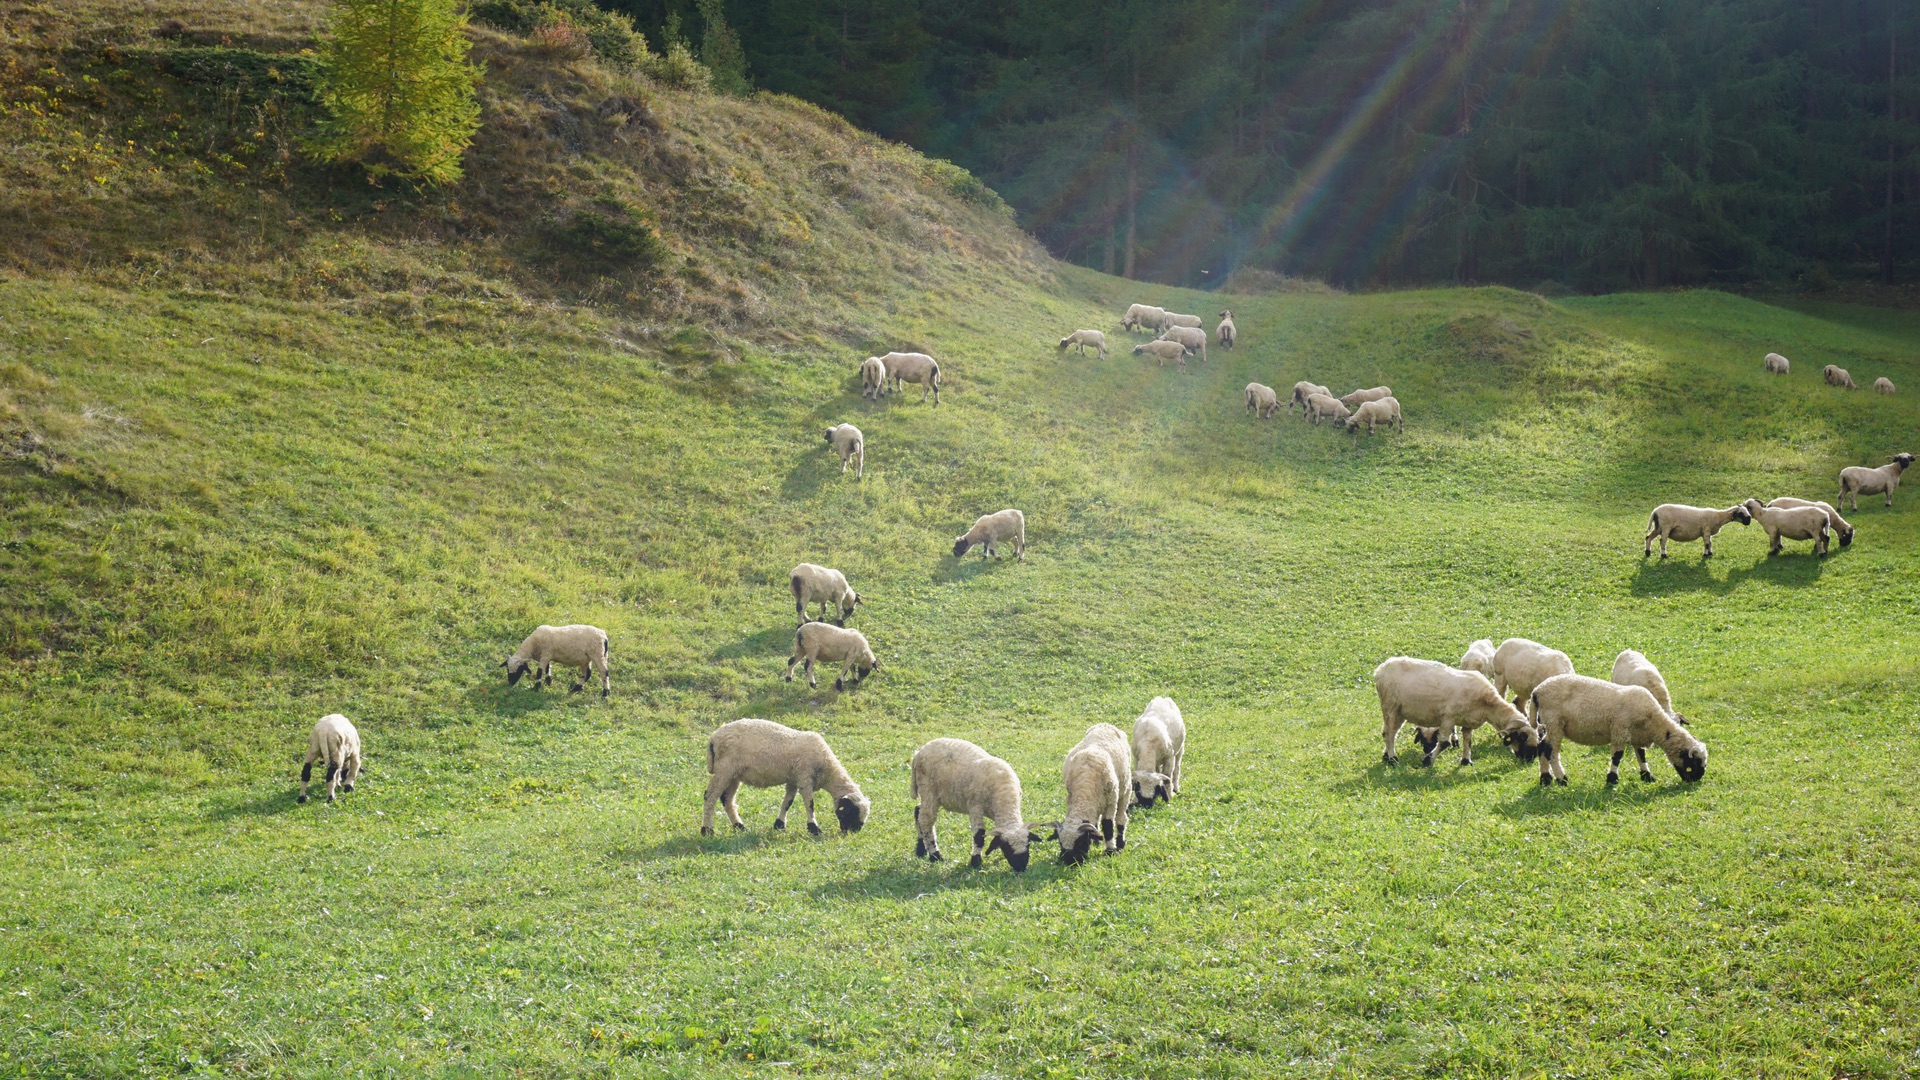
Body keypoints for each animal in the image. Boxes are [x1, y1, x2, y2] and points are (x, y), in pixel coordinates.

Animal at [698, 718, 871, 837]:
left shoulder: (793, 780)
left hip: (734, 774)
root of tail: (713, 738)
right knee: (710, 796)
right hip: (725, 769)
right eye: (852, 812)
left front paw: (779, 825)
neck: (827, 768)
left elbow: (788, 802)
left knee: (727, 800)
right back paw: (707, 829)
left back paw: (739, 826)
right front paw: (814, 828)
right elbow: (810, 804)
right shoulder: (804, 778)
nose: (853, 832)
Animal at [910, 734, 1044, 868]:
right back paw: (935, 855)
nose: (1021, 867)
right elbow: (979, 835)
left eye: (1028, 844)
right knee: (926, 821)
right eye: (1007, 847)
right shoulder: (975, 807)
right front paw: (975, 861)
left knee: (918, 811)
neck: (1004, 797)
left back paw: (921, 849)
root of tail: (918, 753)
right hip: (928, 789)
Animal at [1059, 718, 1128, 860]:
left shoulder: (1111, 802)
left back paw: (1120, 843)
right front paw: (1095, 841)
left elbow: (1108, 825)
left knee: (1121, 817)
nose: (1068, 862)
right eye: (1060, 843)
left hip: (1125, 790)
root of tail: (1104, 724)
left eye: (1079, 842)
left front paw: (1110, 850)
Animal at [1367, 657, 1543, 764]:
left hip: (1400, 711)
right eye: (1522, 737)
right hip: (1390, 705)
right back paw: (1393, 758)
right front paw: (1428, 761)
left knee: (1390, 732)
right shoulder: (1448, 718)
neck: (1488, 705)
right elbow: (1445, 743)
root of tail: (1380, 669)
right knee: (1389, 733)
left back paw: (1387, 755)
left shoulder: (1468, 721)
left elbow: (1468, 740)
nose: (1531, 758)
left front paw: (1466, 761)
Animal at [1528, 672, 1712, 780]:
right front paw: (1612, 779)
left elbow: (1641, 755)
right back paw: (1561, 778)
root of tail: (1536, 692)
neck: (1653, 721)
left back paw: (1546, 779)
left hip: (1547, 724)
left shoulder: (1636, 735)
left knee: (1542, 746)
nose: (1696, 780)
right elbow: (1617, 756)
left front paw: (1646, 775)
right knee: (1550, 750)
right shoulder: (1619, 730)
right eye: (1694, 761)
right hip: (1555, 723)